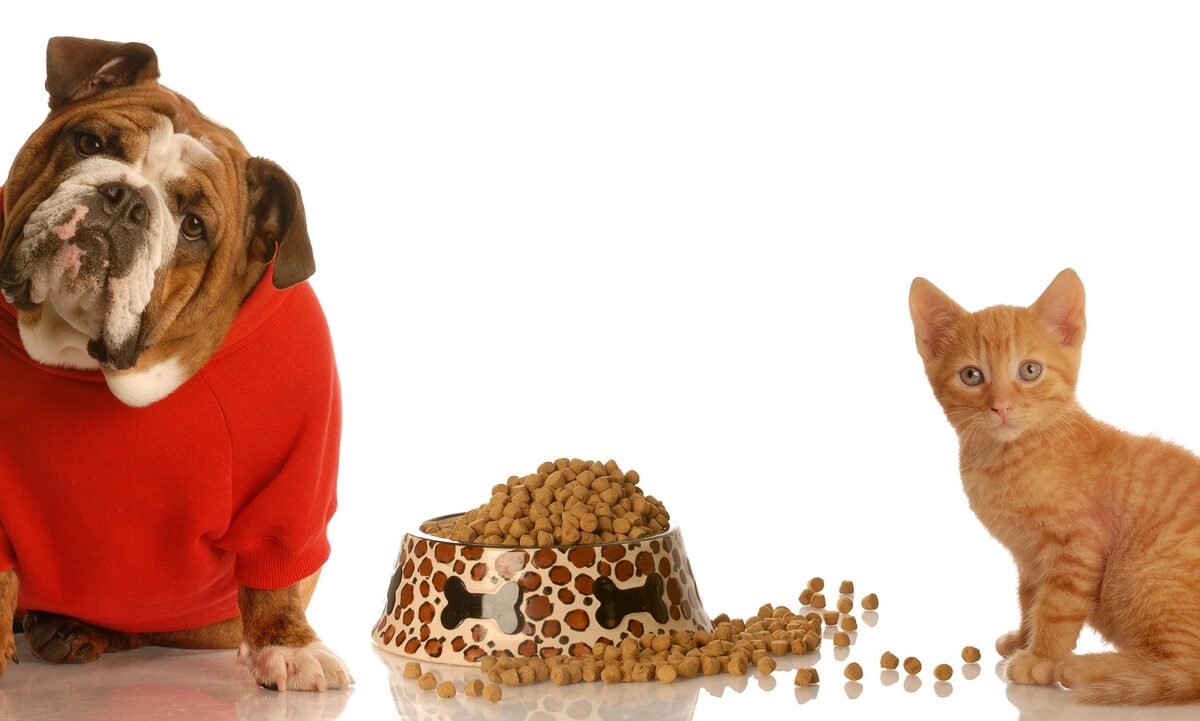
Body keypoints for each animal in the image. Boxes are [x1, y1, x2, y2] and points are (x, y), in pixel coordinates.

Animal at [907, 267, 1200, 700]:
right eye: (971, 376)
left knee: (1185, 666)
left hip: (1147, 575)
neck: (1007, 460)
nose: (1001, 406)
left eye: (1030, 370)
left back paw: (1085, 668)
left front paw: (1041, 657)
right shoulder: (1028, 556)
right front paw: (1023, 639)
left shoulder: (1077, 545)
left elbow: (1057, 606)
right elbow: (1030, 597)